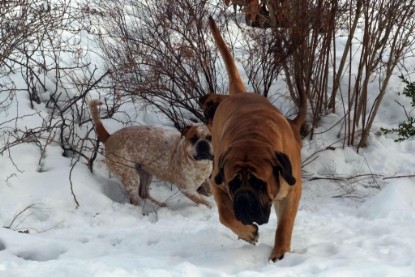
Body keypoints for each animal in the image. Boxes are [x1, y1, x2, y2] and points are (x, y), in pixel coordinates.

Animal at [206, 16, 308, 260]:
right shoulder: (217, 181)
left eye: (259, 183)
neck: (252, 137)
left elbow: (284, 225)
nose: (243, 199)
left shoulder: (292, 191)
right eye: (233, 183)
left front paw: (280, 253)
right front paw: (248, 232)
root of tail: (238, 94)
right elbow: (225, 214)